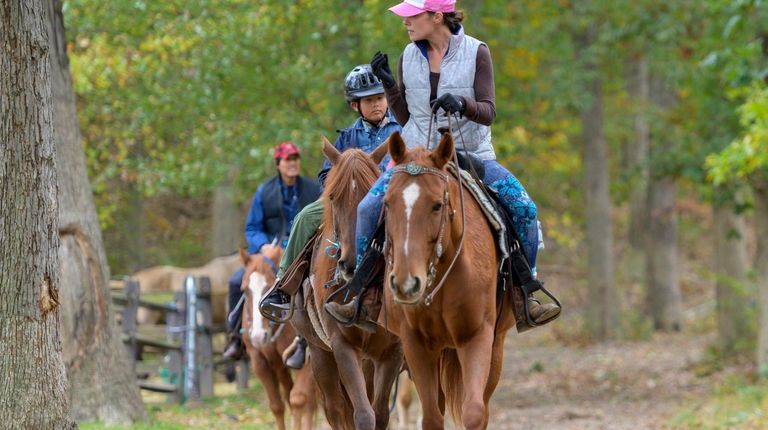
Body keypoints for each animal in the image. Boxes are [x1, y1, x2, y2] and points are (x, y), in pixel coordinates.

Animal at [237, 245, 316, 430]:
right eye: (245, 290)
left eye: (269, 285)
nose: (258, 337)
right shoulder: (260, 361)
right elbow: (277, 406)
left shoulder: (308, 360)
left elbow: (298, 400)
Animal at [288, 139, 404, 430]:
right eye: (332, 197)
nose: (350, 264)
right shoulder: (341, 346)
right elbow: (362, 415)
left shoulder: (392, 351)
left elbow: (380, 414)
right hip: (320, 354)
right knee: (336, 409)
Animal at [380, 132, 516, 430]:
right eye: (387, 203)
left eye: (437, 205)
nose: (407, 283)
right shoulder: (415, 344)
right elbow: (431, 416)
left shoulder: (477, 337)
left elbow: (475, 413)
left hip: (494, 347)